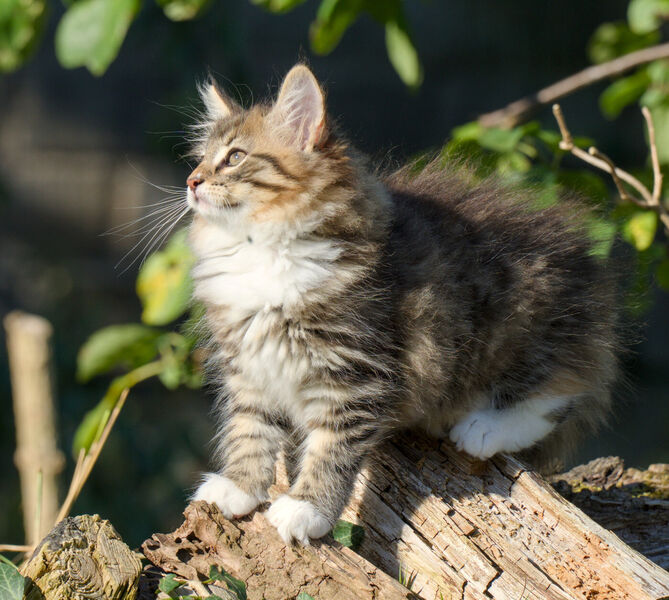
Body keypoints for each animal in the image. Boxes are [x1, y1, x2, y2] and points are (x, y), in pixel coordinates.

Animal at [187, 64, 616, 544]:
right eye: (199, 158)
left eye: (235, 157)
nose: (192, 182)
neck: (263, 248)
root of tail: (585, 264)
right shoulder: (250, 366)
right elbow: (250, 430)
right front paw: (239, 487)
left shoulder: (356, 373)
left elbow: (331, 448)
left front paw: (307, 508)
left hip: (520, 329)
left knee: (564, 390)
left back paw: (483, 427)